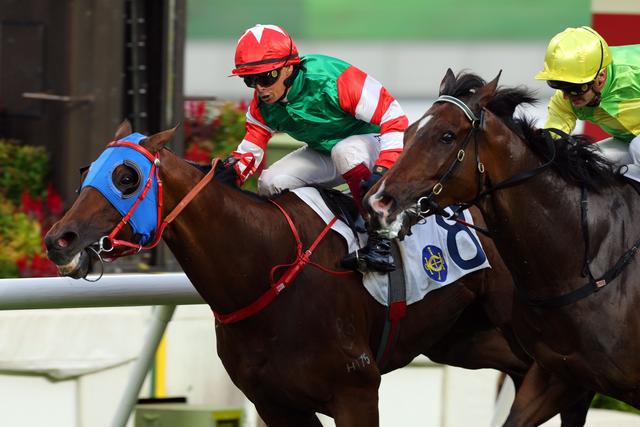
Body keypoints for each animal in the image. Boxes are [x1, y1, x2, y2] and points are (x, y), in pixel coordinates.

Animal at [44, 120, 590, 426]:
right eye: (86, 171)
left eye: (126, 176)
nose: (58, 240)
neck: (266, 268)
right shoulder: (276, 405)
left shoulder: (356, 392)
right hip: (464, 338)